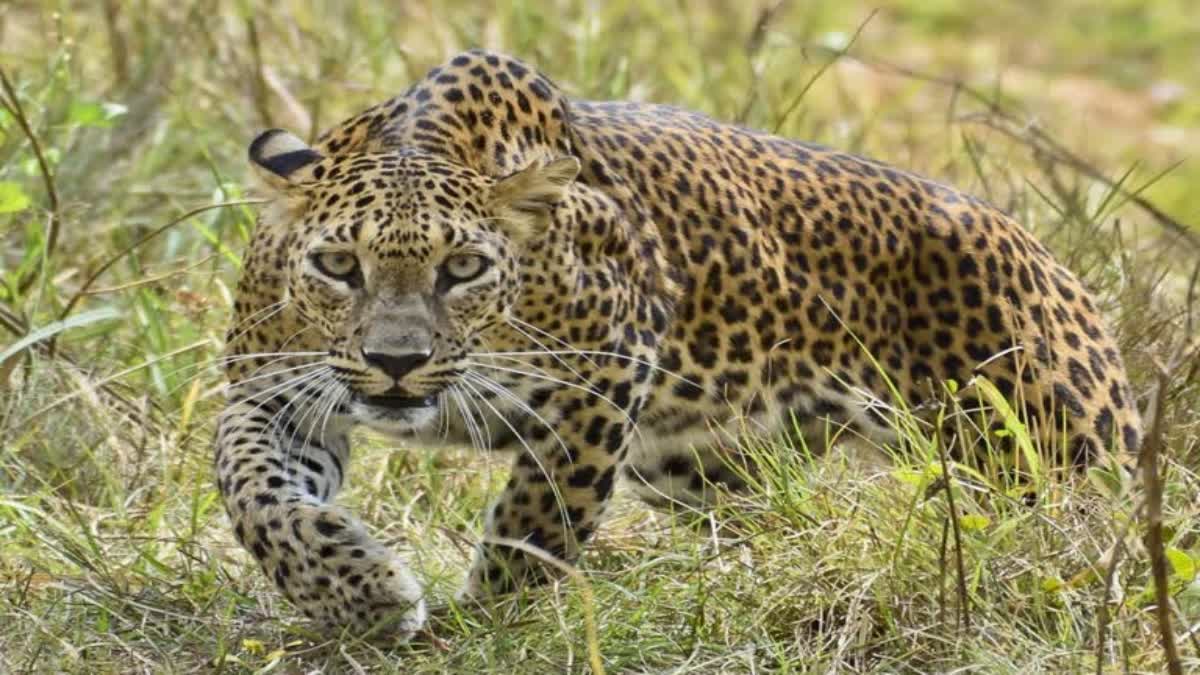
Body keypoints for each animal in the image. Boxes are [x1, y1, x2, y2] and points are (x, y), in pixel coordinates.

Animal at [211, 49, 1137, 634]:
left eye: (463, 267)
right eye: (338, 264)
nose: (396, 363)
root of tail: (1049, 255)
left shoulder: (603, 377)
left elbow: (538, 519)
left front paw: (486, 620)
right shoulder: (272, 391)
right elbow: (254, 493)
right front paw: (359, 592)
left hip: (1053, 458)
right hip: (699, 464)